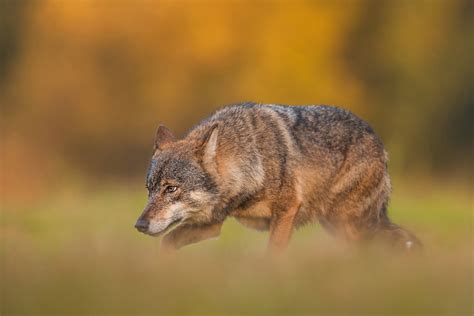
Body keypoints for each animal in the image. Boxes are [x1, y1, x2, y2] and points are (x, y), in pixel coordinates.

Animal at [134, 103, 422, 252]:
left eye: (171, 189)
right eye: (150, 189)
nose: (139, 225)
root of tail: (379, 142)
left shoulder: (287, 211)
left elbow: (274, 254)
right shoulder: (212, 224)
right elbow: (167, 243)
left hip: (347, 224)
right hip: (338, 225)